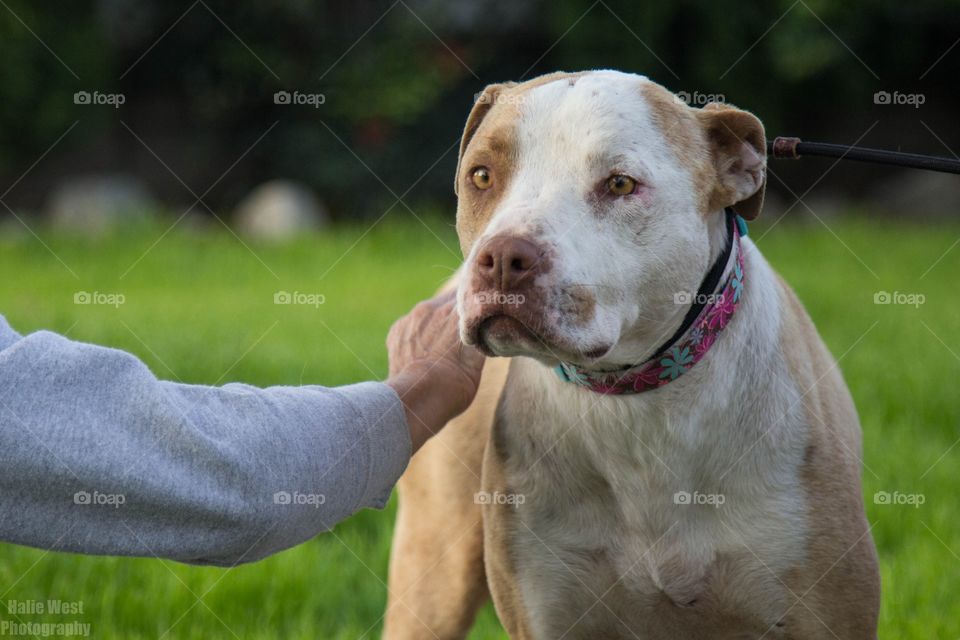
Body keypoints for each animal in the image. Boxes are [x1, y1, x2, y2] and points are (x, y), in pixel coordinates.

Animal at [380, 71, 876, 640]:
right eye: (482, 176)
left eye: (619, 184)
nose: (502, 257)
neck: (637, 402)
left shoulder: (825, 612)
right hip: (433, 577)